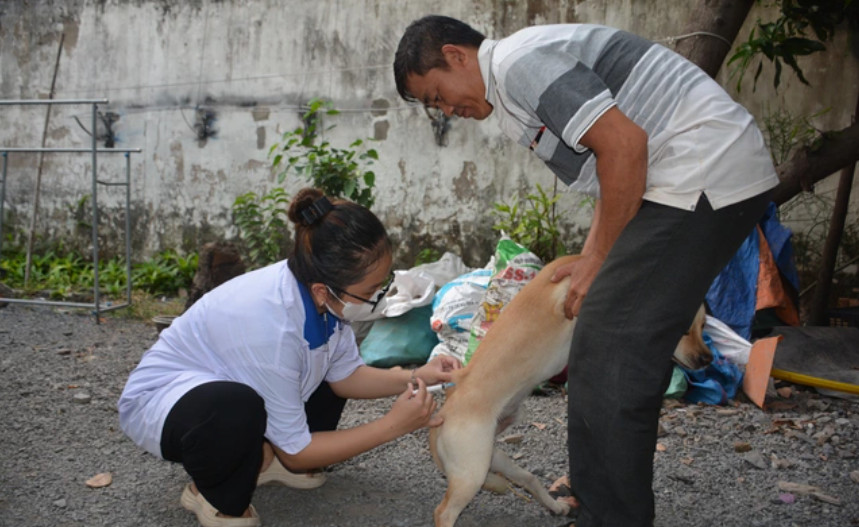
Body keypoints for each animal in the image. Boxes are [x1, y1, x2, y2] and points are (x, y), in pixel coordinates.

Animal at [430, 254, 712, 524]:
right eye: (683, 330)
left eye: (703, 326)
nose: (708, 360)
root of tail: (443, 414)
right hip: (473, 472)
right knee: (443, 512)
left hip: (493, 460)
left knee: (529, 479)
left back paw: (557, 506)